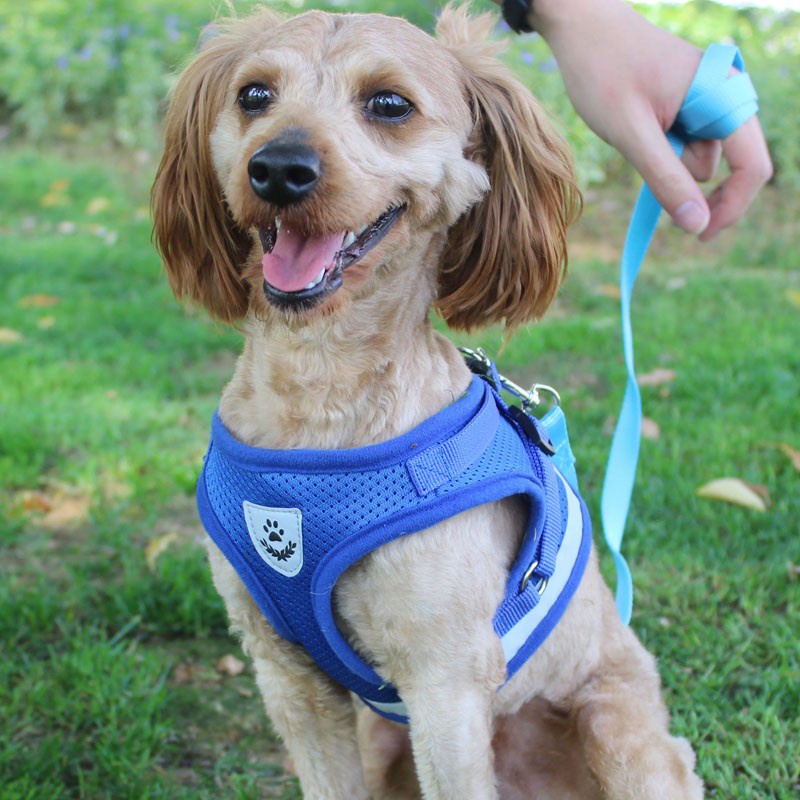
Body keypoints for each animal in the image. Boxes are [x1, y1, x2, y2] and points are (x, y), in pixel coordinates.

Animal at [153, 6, 704, 800]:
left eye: (389, 104)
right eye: (253, 95)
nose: (279, 168)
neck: (319, 397)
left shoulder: (444, 683)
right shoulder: (288, 675)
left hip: (624, 736)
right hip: (386, 742)